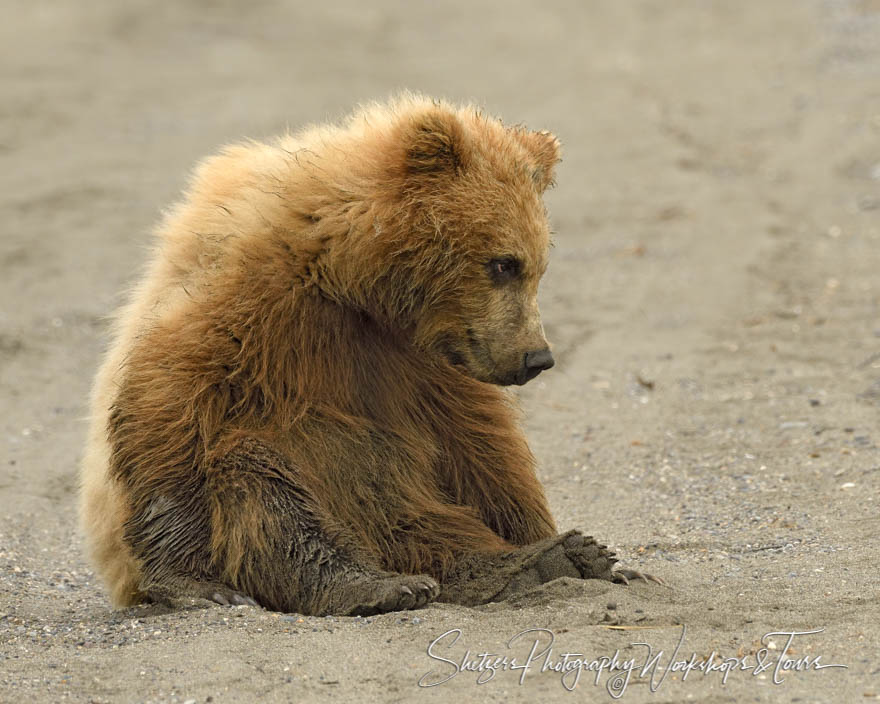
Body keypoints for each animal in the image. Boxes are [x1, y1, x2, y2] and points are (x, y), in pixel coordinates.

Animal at [81, 95, 660, 616]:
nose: (537, 358)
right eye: (503, 263)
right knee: (261, 476)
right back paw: (378, 584)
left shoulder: (420, 362)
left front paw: (590, 553)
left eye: (538, 265)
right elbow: (169, 406)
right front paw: (195, 583)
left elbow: (483, 445)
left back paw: (544, 561)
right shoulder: (249, 308)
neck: (348, 279)